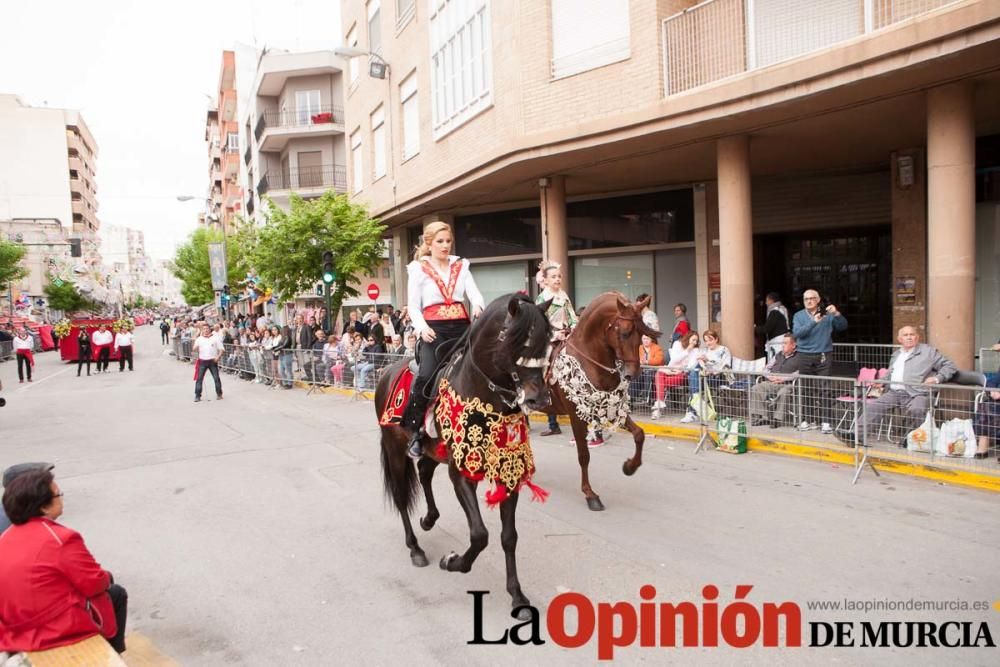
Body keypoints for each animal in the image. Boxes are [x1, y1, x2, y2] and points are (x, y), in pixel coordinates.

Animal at [376, 294, 556, 620]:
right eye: (514, 339)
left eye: (545, 343)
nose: (538, 398)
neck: (486, 397)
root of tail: (386, 373)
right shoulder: (461, 473)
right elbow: (480, 534)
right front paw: (454, 562)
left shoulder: (508, 472)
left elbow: (508, 537)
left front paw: (517, 596)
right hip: (394, 449)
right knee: (401, 496)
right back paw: (416, 548)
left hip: (434, 450)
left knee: (424, 470)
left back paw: (429, 519)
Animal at [544, 292, 660, 512]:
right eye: (625, 333)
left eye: (642, 333)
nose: (633, 374)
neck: (588, 358)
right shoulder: (576, 415)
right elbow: (584, 455)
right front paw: (590, 494)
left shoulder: (611, 408)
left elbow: (639, 434)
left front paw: (629, 467)